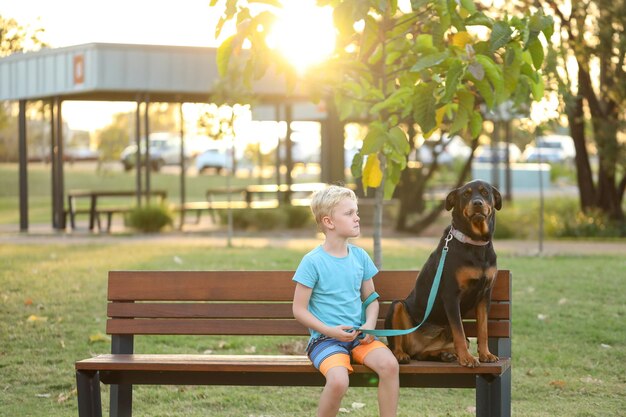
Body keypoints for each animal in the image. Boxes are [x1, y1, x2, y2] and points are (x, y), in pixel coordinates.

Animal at [386, 180, 502, 368]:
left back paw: (444, 355)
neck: (474, 244)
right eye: (466, 194)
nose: (477, 203)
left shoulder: (485, 295)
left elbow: (483, 329)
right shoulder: (451, 295)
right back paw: (401, 354)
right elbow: (459, 332)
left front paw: (486, 354)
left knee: (423, 354)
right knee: (396, 342)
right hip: (397, 306)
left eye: (485, 192)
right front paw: (467, 359)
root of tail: (417, 345)